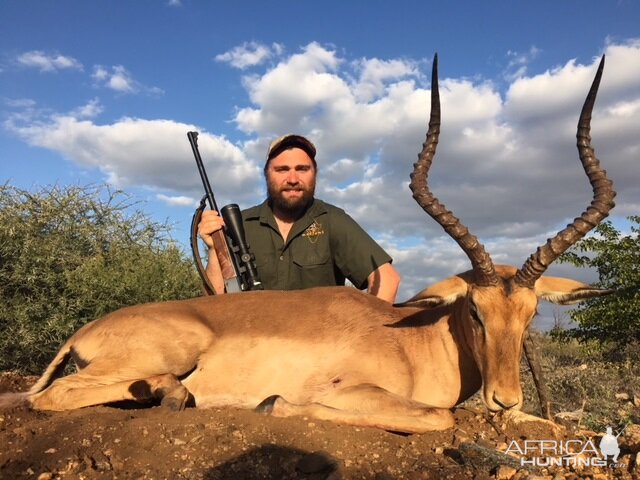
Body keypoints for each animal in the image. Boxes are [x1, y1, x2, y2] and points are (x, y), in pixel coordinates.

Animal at [3, 54, 616, 434]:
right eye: (475, 312)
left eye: (530, 315)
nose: (505, 399)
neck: (412, 339)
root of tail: (86, 329)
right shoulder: (354, 392)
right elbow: (436, 417)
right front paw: (276, 405)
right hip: (171, 351)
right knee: (46, 397)